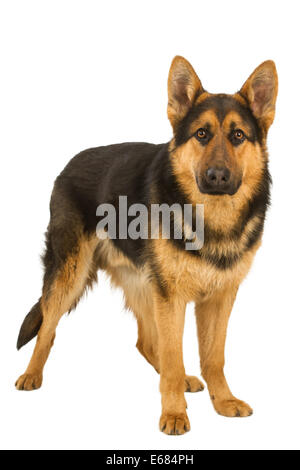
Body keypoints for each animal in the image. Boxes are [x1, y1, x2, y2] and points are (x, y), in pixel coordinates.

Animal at [15, 57, 278, 436]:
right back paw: (31, 374)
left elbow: (213, 356)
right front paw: (174, 413)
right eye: (201, 134)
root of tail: (68, 165)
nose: (216, 177)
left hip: (144, 284)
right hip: (70, 275)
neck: (210, 217)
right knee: (48, 328)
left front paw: (223, 401)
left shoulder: (219, 297)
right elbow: (173, 355)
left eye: (238, 136)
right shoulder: (172, 297)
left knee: (146, 341)